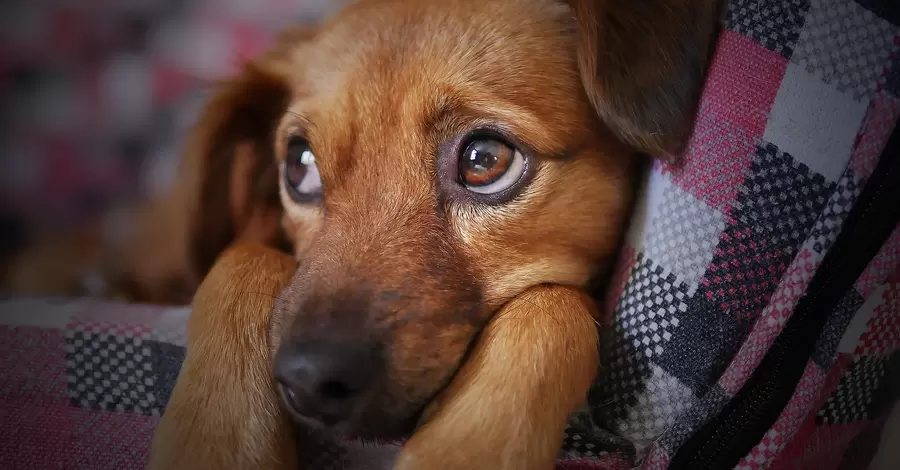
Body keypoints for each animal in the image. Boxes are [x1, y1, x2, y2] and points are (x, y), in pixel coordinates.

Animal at [146, 0, 724, 468]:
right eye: (299, 165)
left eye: (485, 160)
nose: (309, 381)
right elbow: (242, 257)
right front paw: (215, 441)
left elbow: (552, 305)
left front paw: (465, 447)